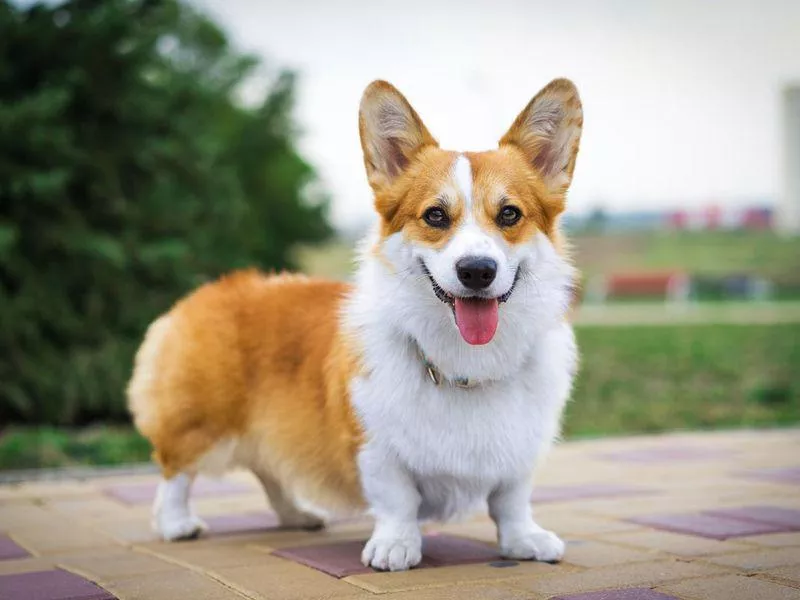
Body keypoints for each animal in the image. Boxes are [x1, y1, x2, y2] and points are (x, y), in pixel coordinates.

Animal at [130, 77, 580, 568]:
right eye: (435, 215)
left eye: (510, 214)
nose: (477, 271)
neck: (465, 364)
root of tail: (206, 292)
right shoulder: (375, 444)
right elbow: (398, 499)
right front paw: (396, 545)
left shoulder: (519, 449)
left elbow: (511, 500)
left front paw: (524, 540)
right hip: (202, 423)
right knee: (175, 470)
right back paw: (177, 524)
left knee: (270, 468)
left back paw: (299, 515)